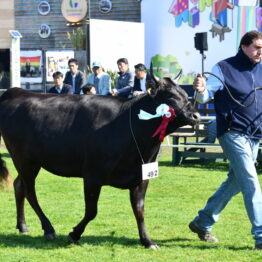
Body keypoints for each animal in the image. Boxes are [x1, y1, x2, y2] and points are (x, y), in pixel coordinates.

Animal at [0, 72, 198, 249]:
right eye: (171, 96)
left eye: (184, 93)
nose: (195, 116)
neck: (130, 126)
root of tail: (17, 91)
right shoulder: (92, 175)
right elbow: (91, 211)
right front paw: (74, 234)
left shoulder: (141, 177)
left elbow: (140, 210)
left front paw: (147, 241)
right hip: (23, 158)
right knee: (29, 191)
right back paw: (48, 228)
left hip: (32, 162)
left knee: (19, 186)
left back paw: (22, 226)